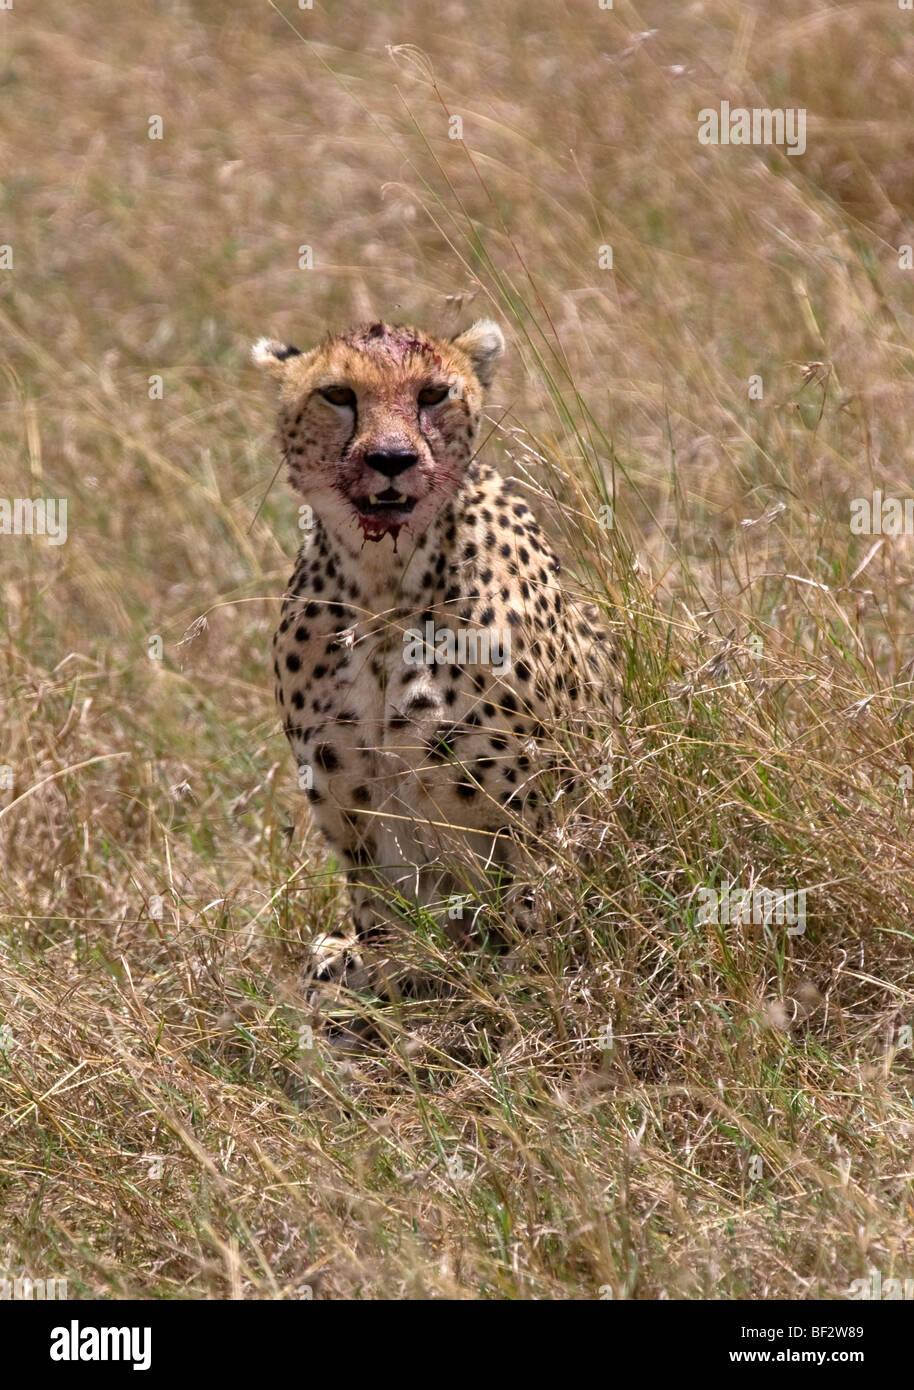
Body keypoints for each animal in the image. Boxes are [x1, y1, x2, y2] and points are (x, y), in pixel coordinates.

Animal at [253, 317, 620, 999]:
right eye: (337, 395)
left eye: (432, 394)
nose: (391, 460)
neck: (382, 586)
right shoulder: (361, 827)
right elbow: (389, 939)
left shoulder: (534, 817)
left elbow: (533, 929)